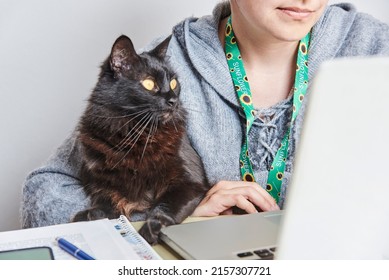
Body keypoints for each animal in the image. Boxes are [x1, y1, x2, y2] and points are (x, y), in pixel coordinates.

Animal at [71, 35, 208, 244]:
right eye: (149, 84)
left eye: (173, 83)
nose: (173, 101)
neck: (137, 136)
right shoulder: (102, 186)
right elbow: (105, 206)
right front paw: (87, 218)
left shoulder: (190, 183)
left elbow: (164, 208)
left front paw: (151, 229)